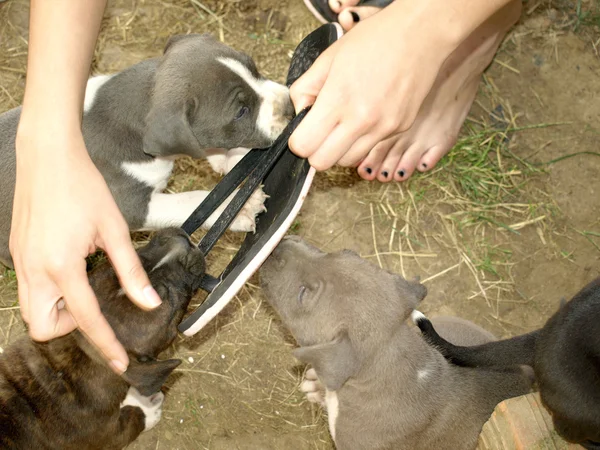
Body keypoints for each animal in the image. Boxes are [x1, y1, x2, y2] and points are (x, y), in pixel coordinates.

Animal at [0, 34, 292, 270]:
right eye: (241, 111)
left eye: (253, 67)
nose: (290, 104)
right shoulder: (128, 206)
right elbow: (189, 201)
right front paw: (241, 208)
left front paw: (234, 159)